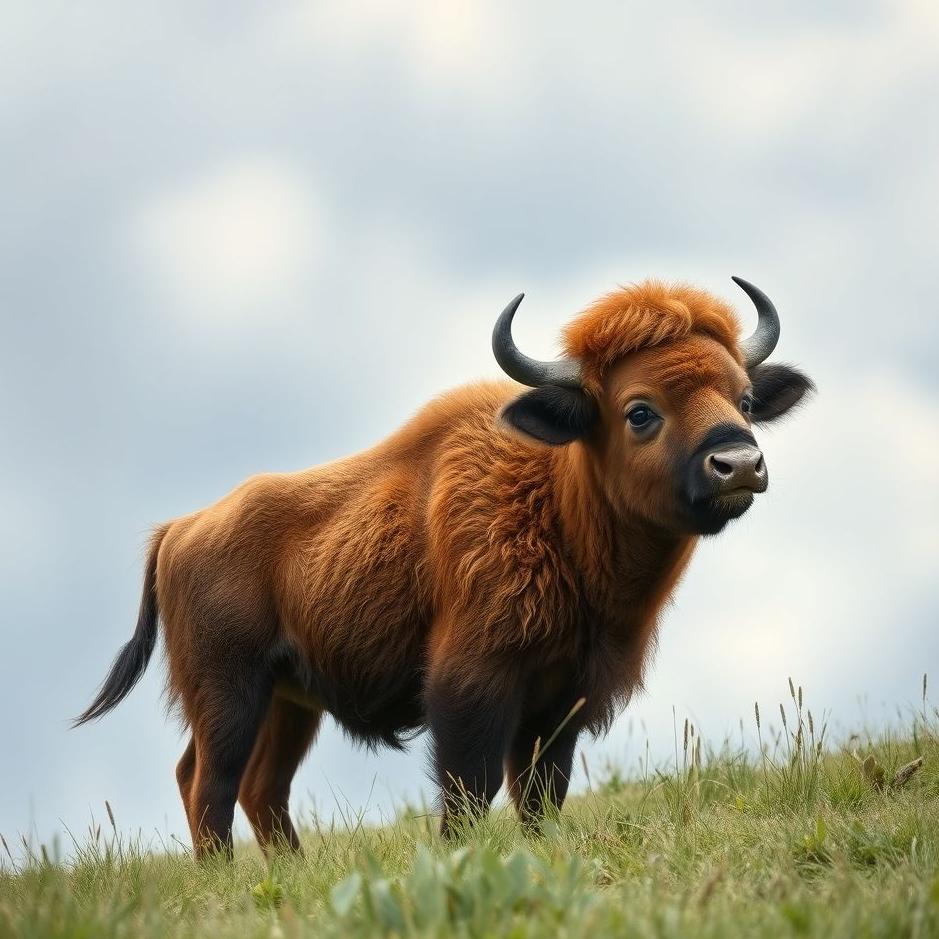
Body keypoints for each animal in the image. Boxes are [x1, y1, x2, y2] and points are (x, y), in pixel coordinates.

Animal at [75, 276, 813, 858]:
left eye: (744, 398)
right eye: (639, 410)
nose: (738, 464)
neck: (553, 500)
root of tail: (181, 529)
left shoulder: (561, 702)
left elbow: (538, 796)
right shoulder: (474, 686)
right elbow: (467, 793)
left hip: (287, 702)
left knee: (258, 789)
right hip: (229, 692)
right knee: (209, 784)